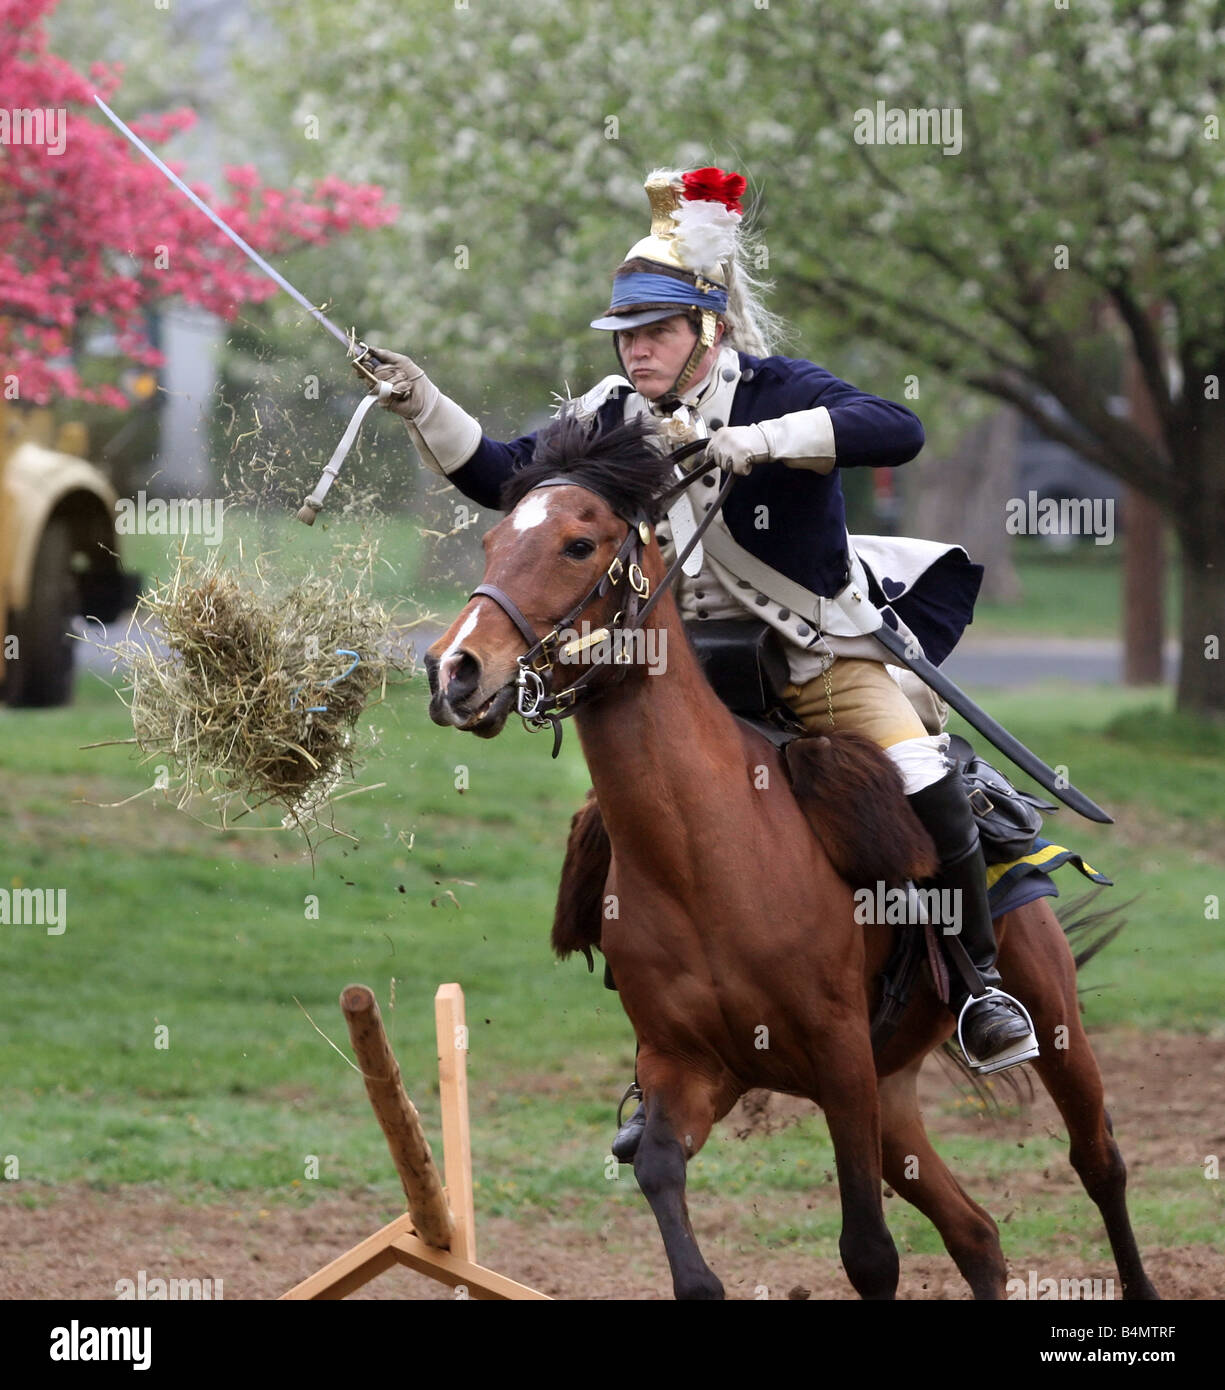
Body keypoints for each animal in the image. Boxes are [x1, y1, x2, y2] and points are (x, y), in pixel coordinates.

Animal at [428, 414, 1156, 1301]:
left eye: (577, 543)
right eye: (494, 540)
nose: (454, 670)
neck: (702, 857)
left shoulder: (839, 1059)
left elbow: (868, 1253)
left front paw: (744, 443)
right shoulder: (688, 1068)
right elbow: (662, 1181)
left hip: (1045, 1016)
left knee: (1098, 1161)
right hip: (891, 1092)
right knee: (976, 1233)